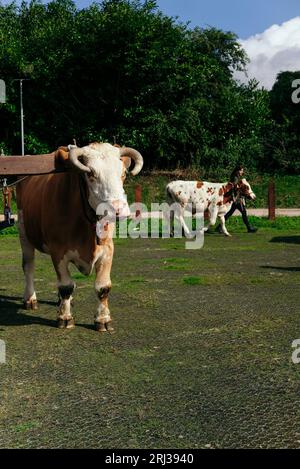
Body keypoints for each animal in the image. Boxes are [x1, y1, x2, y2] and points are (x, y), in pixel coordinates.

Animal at [16, 142, 143, 330]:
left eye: (123, 173)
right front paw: (65, 317)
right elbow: (66, 286)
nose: (118, 209)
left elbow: (103, 287)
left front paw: (103, 319)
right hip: (24, 232)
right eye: (90, 174)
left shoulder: (107, 249)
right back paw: (30, 298)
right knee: (29, 266)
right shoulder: (58, 251)